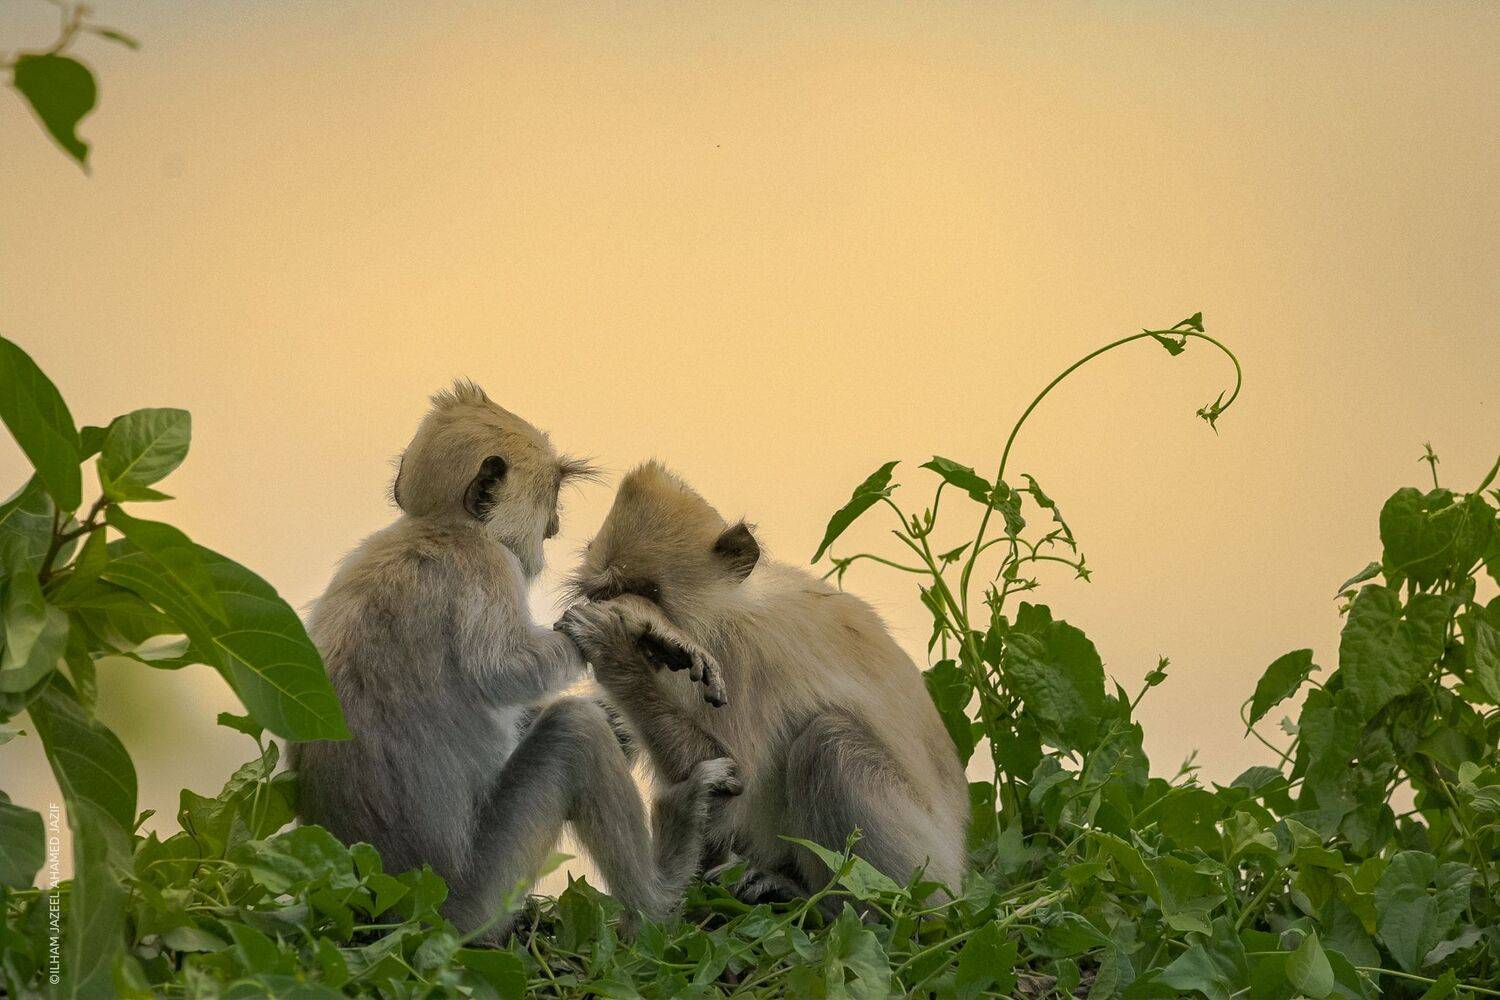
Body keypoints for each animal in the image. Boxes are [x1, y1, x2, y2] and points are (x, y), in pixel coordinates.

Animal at [288, 385, 740, 941]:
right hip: (482, 893)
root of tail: (385, 909)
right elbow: (504, 675)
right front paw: (626, 625)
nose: (554, 526)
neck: (438, 527)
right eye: (552, 495)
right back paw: (660, 891)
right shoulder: (486, 564)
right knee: (574, 734)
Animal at [556, 461, 970, 906]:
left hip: (921, 872)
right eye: (604, 592)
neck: (729, 610)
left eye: (643, 592)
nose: (638, 634)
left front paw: (613, 646)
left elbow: (732, 783)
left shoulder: (745, 653)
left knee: (828, 743)